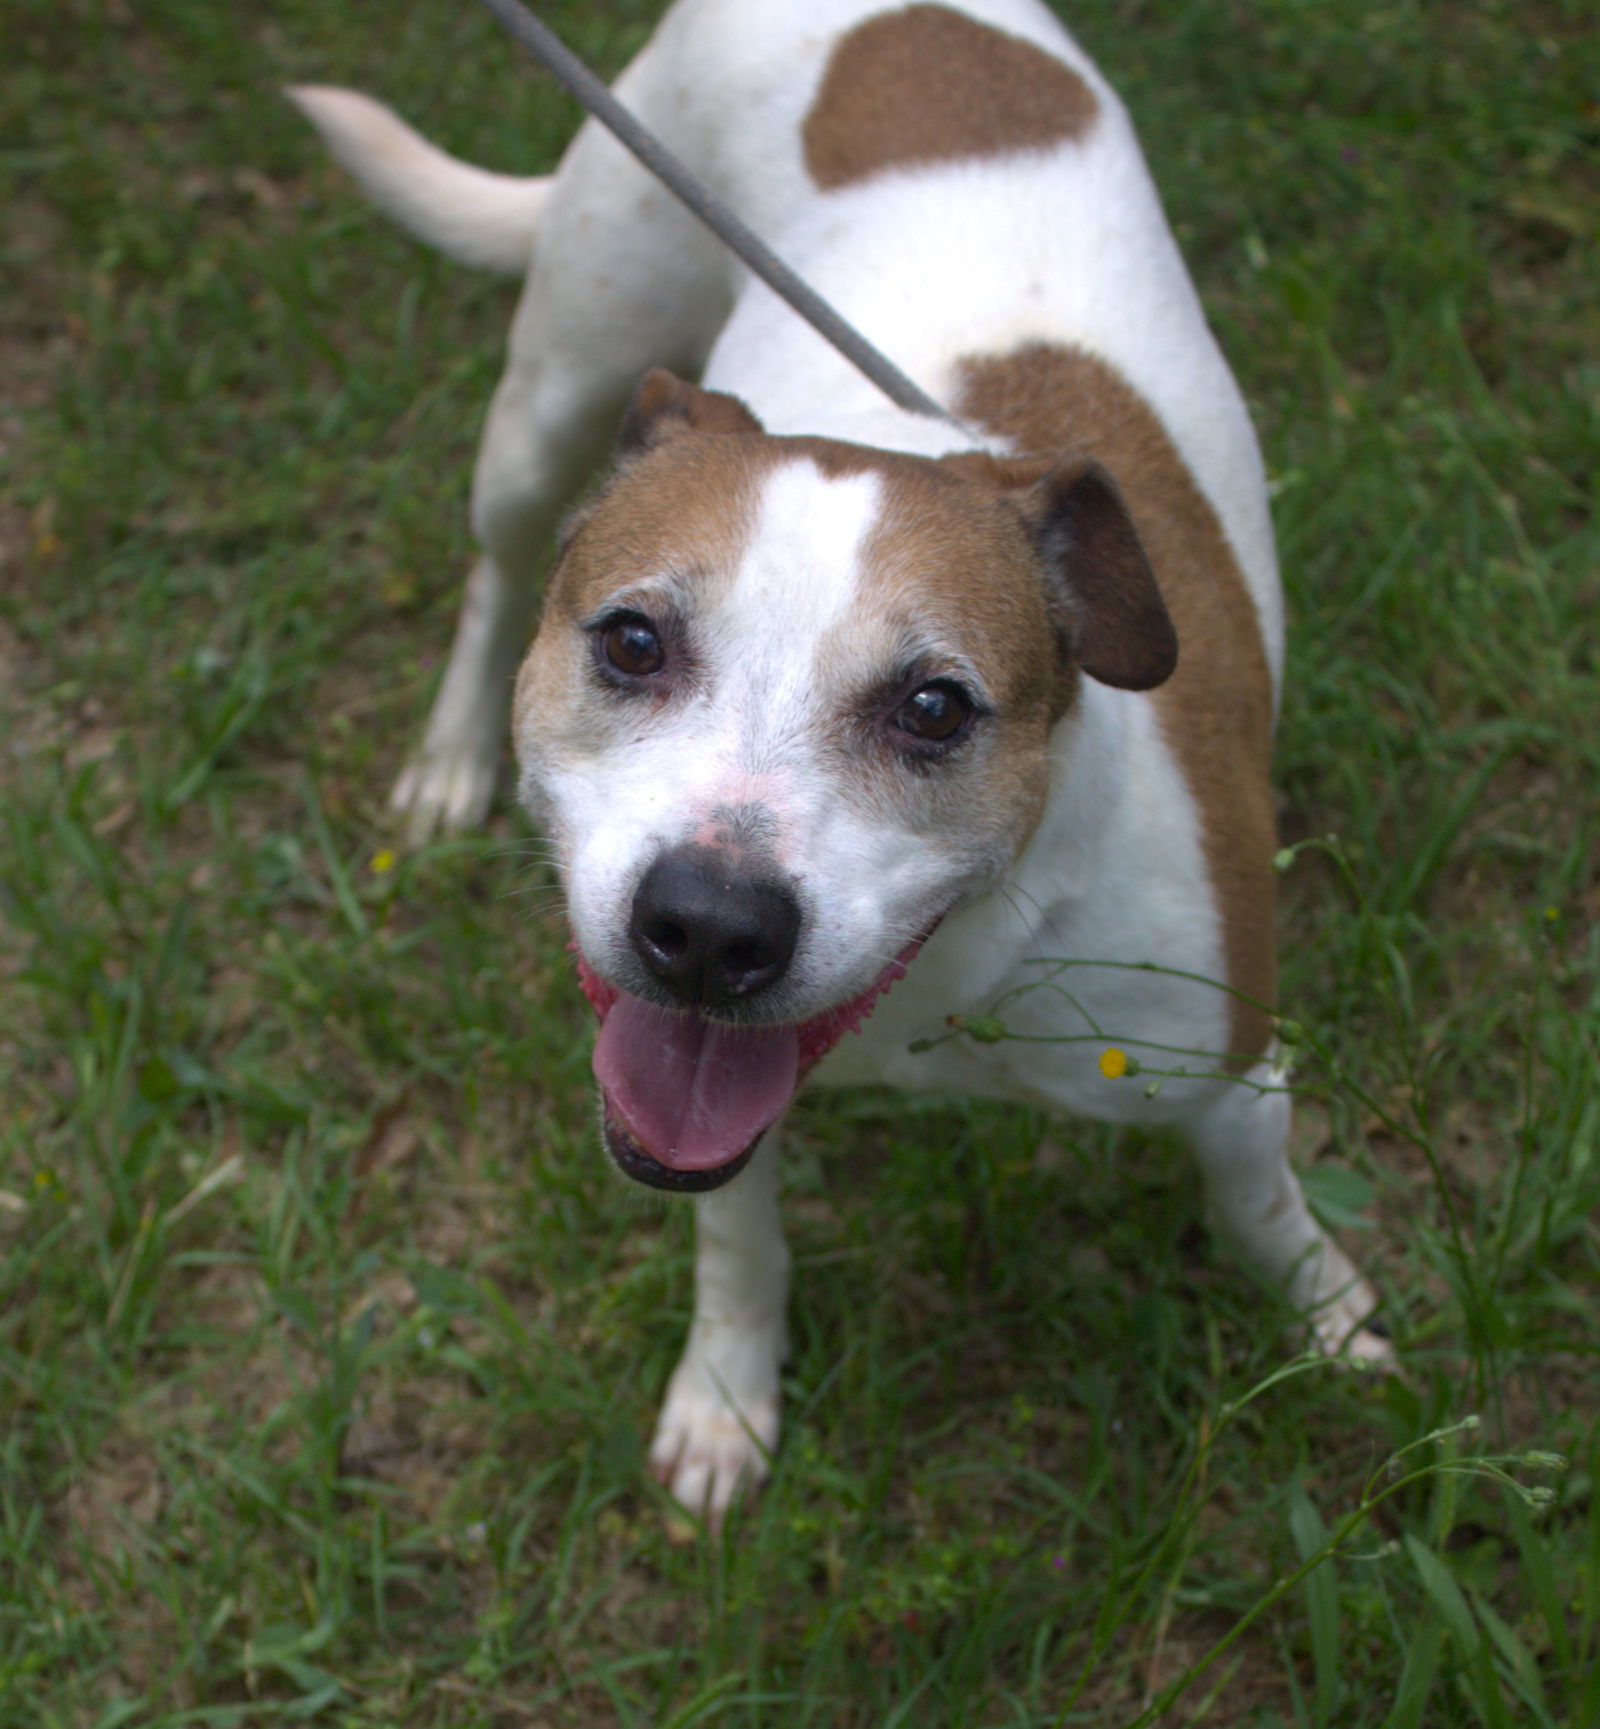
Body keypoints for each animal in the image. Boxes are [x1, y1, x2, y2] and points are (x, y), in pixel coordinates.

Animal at [294, 0, 1390, 1514]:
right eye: (632, 641)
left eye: (934, 708)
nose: (706, 927)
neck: (943, 974)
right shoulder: (689, 1097)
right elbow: (738, 1241)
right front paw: (725, 1397)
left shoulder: (1230, 1069)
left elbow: (1263, 1203)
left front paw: (1329, 1320)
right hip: (555, 391)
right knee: (497, 565)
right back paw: (452, 755)